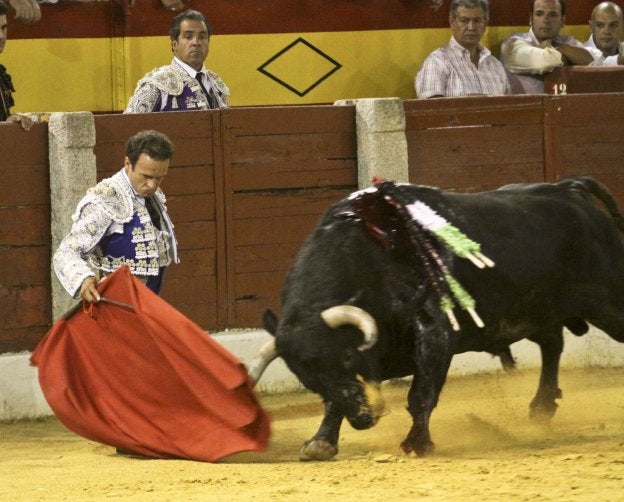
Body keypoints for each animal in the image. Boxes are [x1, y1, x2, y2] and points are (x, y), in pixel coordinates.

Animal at [247, 176, 624, 458]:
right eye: (308, 379)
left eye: (348, 356)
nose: (365, 419)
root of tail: (569, 188)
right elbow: (333, 401)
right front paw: (321, 442)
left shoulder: (435, 333)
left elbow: (421, 394)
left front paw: (416, 444)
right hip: (538, 310)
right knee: (552, 343)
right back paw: (542, 407)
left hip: (609, 302)